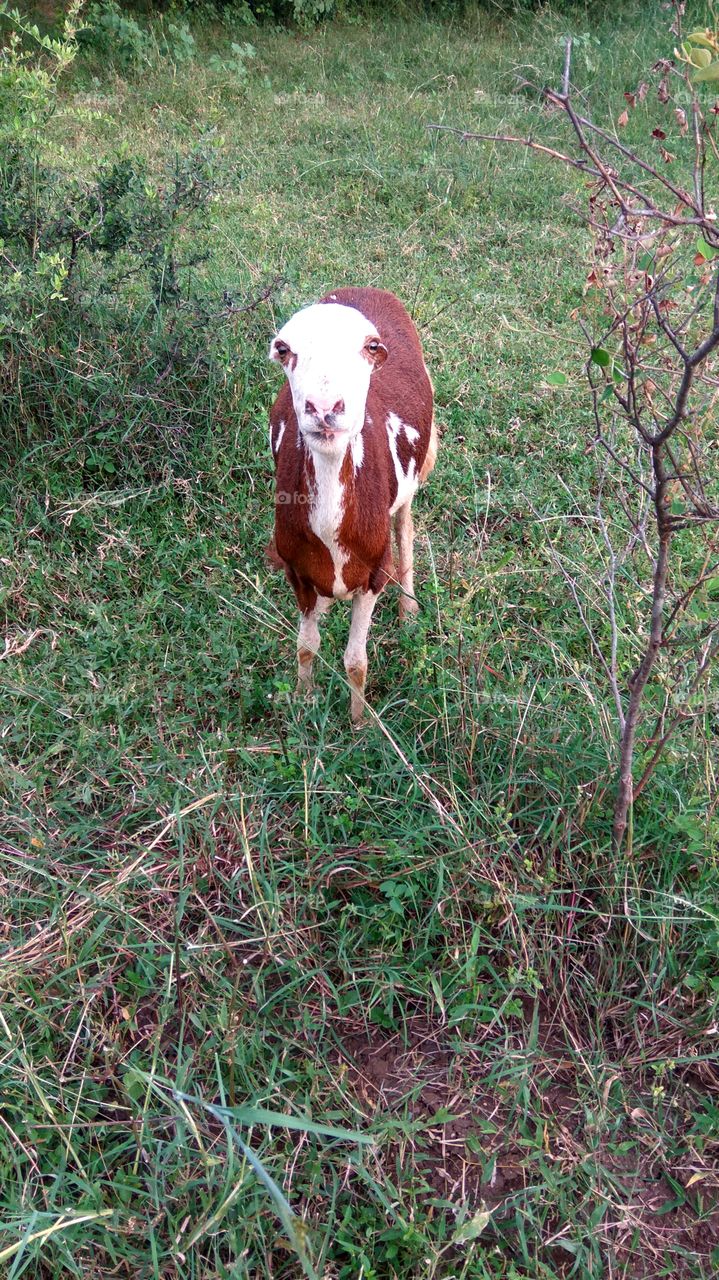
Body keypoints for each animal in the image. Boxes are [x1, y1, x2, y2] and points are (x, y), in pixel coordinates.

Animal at [268, 286, 437, 725]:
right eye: (283, 349)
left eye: (370, 346)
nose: (325, 407)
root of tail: (365, 290)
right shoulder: (297, 573)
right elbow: (306, 646)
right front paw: (303, 701)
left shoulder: (374, 573)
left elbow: (356, 662)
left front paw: (359, 723)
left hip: (413, 474)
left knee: (405, 529)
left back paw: (409, 610)